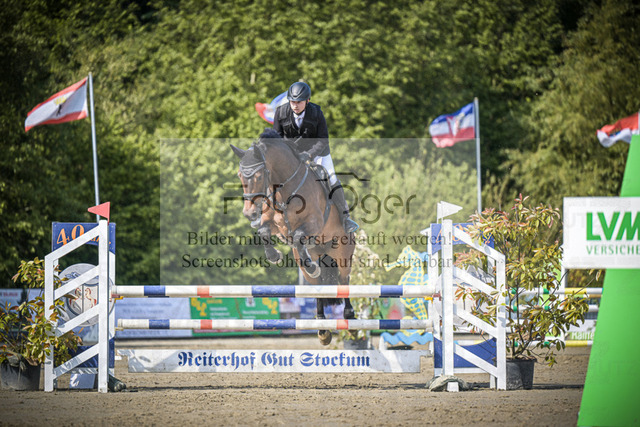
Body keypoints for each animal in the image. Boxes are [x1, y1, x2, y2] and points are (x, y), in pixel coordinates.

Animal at [231, 129, 355, 345]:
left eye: (258, 176)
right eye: (240, 175)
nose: (249, 214)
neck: (284, 189)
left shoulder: (314, 223)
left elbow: (298, 236)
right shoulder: (274, 226)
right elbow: (263, 232)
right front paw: (275, 256)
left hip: (343, 255)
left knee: (343, 281)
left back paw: (349, 317)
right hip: (314, 262)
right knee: (318, 285)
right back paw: (322, 328)